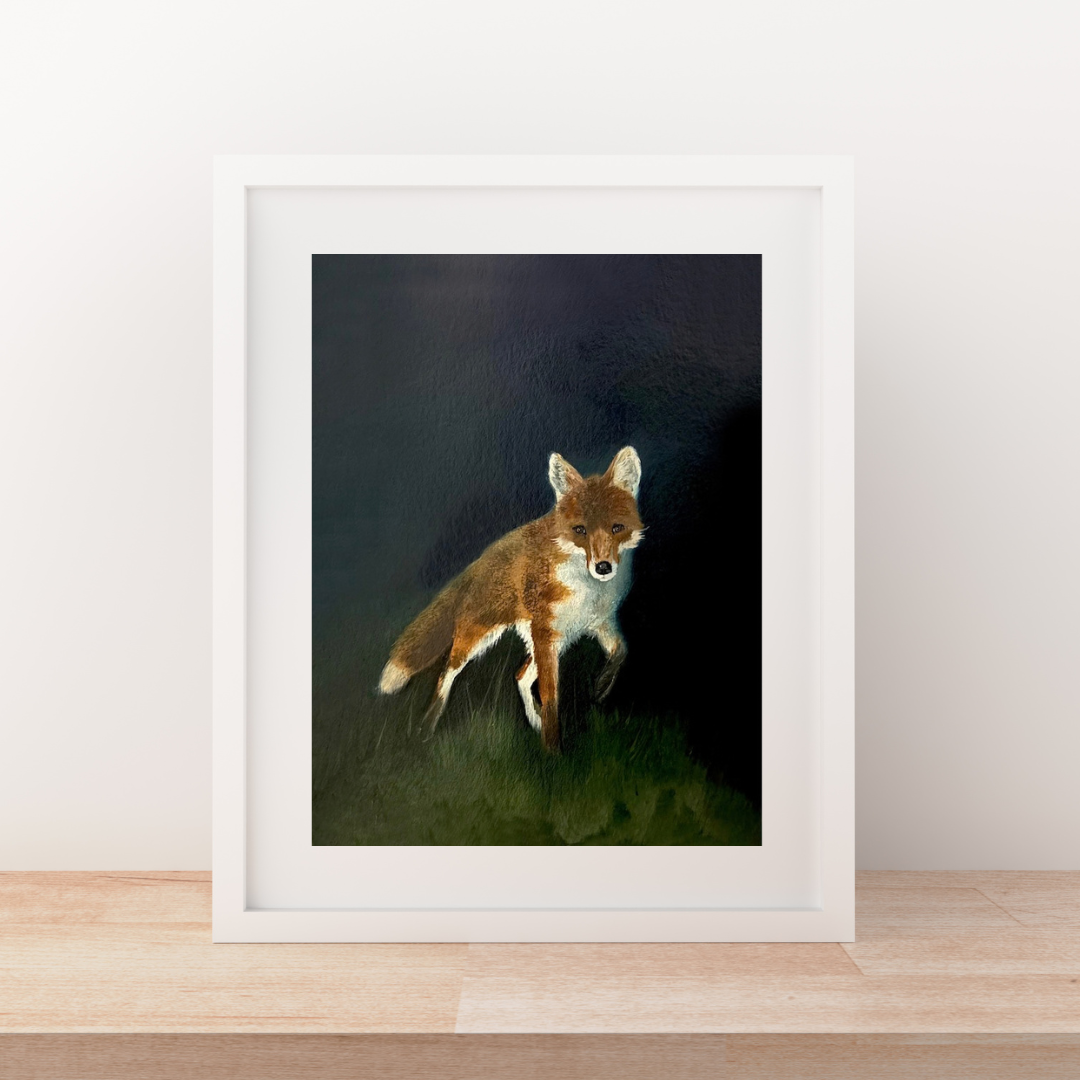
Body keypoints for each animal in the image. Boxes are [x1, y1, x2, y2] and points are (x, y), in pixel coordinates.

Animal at [378, 446, 644, 752]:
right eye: (580, 530)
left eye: (617, 528)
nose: (603, 567)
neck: (588, 589)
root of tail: (480, 560)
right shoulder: (548, 633)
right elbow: (551, 699)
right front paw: (553, 751)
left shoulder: (596, 622)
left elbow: (621, 651)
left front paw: (600, 687)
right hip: (479, 637)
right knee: (447, 672)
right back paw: (427, 726)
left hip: (552, 640)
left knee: (519, 675)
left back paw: (534, 721)